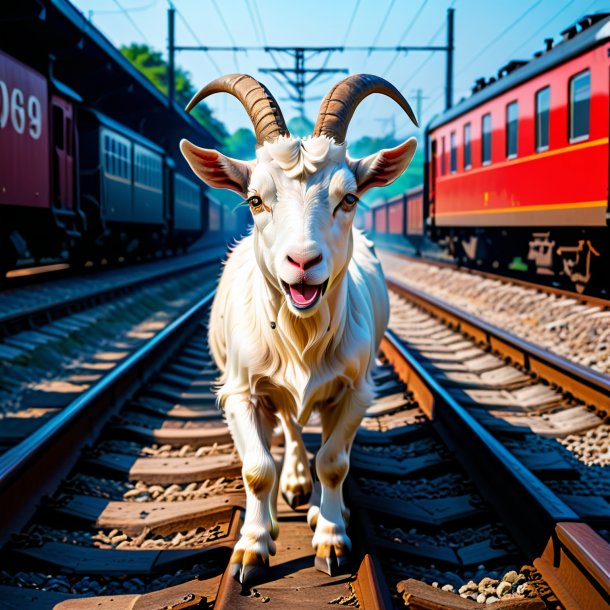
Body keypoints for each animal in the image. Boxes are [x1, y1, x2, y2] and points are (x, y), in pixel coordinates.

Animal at [180, 72, 416, 584]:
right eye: (255, 200)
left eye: (349, 197)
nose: (303, 262)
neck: (300, 336)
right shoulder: (241, 391)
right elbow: (256, 469)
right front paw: (252, 548)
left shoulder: (355, 390)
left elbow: (334, 462)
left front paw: (331, 539)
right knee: (287, 428)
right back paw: (285, 494)